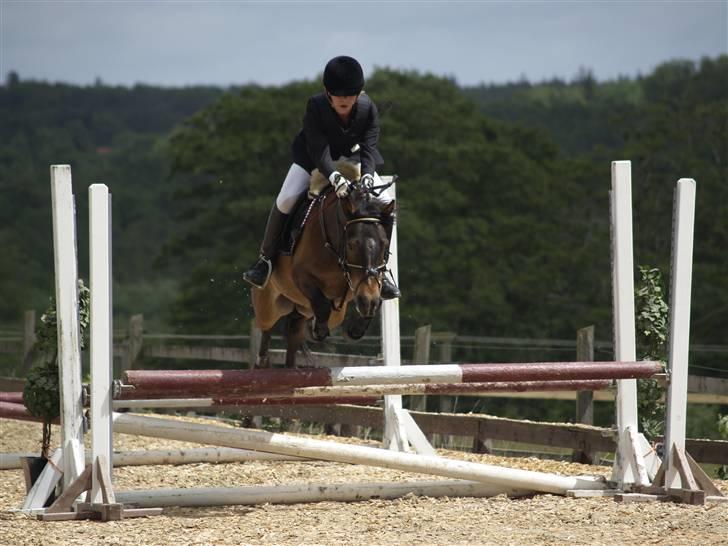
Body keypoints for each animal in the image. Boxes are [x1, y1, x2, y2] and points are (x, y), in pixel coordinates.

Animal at [253, 172, 396, 368]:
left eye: (385, 244)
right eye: (351, 245)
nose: (367, 302)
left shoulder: (366, 287)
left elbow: (377, 300)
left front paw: (355, 329)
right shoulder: (302, 277)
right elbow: (321, 306)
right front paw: (318, 330)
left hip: (315, 311)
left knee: (294, 329)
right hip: (268, 307)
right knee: (265, 329)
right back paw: (262, 362)